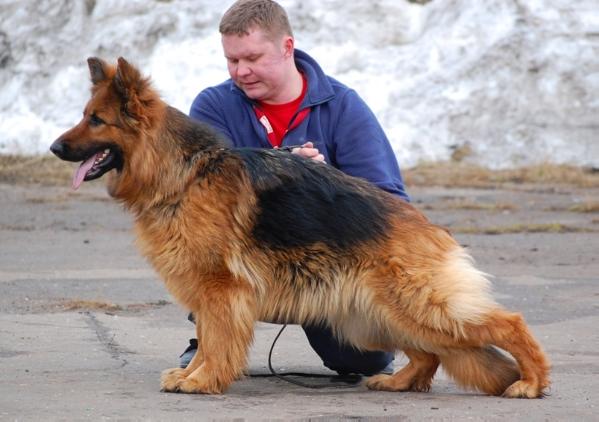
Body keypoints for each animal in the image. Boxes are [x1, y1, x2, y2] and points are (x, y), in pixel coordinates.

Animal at [49, 57, 552, 398]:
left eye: (96, 120)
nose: (54, 148)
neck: (186, 173)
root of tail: (429, 228)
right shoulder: (211, 293)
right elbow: (209, 339)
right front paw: (195, 375)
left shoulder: (220, 290)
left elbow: (217, 342)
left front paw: (204, 380)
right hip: (372, 317)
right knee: (429, 351)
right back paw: (401, 382)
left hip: (416, 305)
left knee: (507, 323)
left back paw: (532, 382)